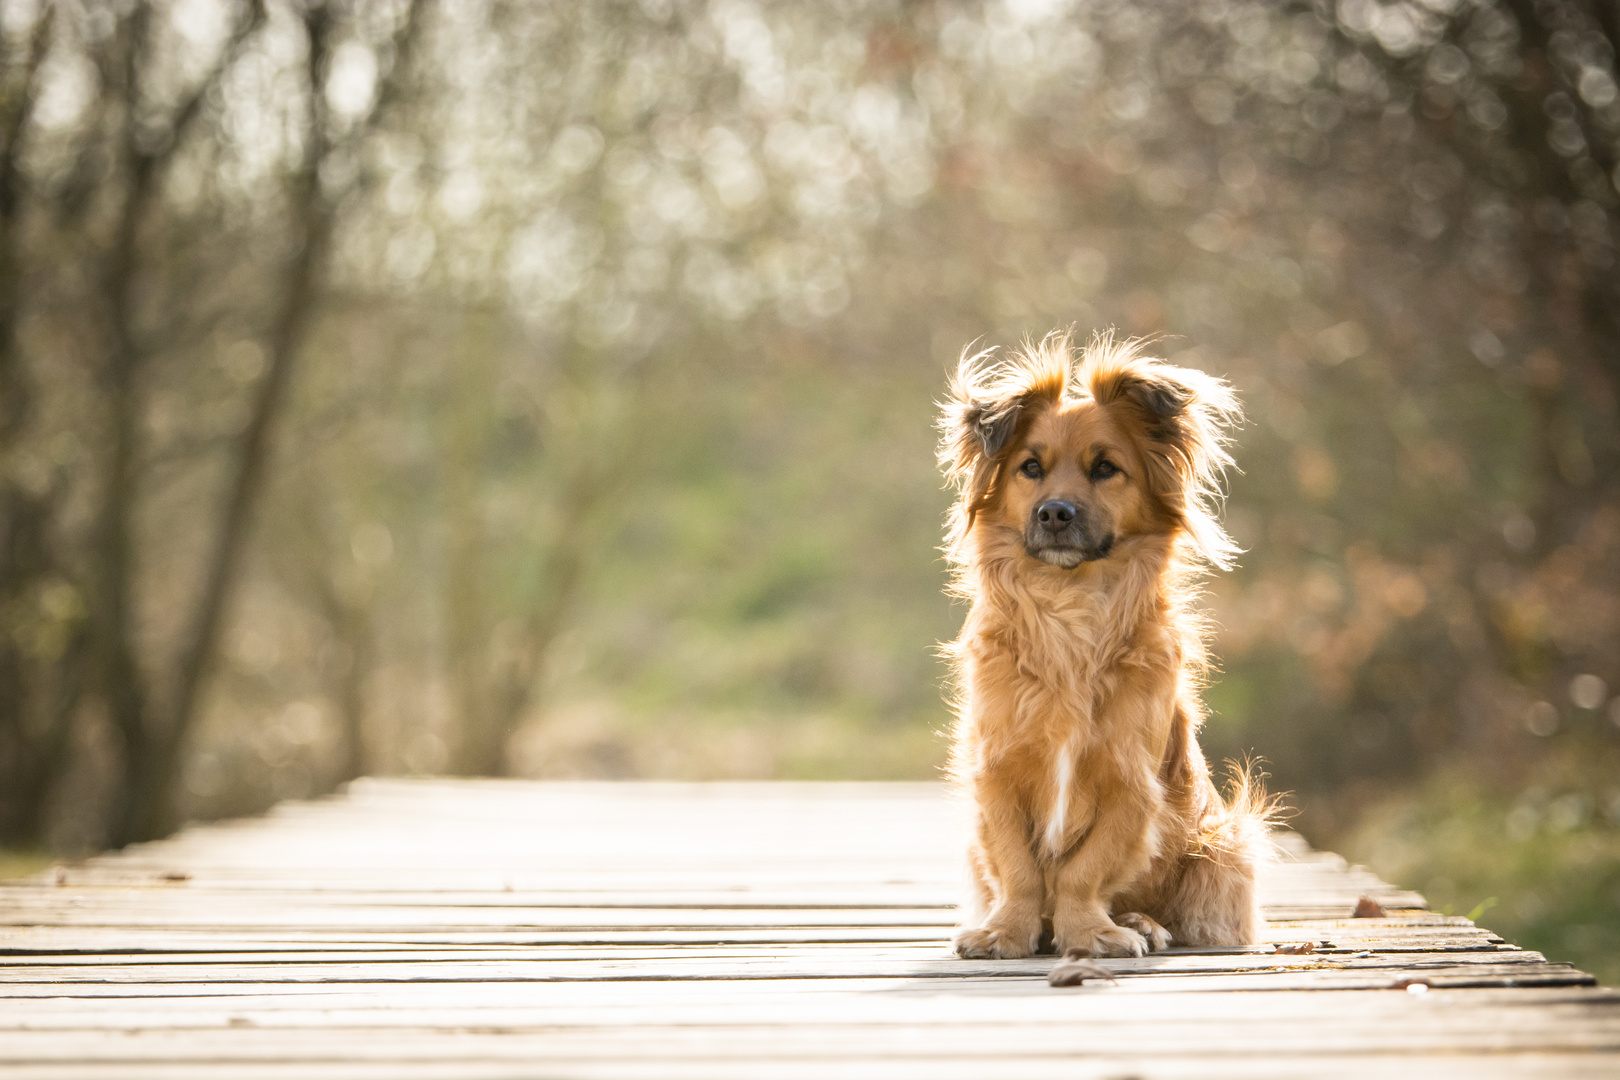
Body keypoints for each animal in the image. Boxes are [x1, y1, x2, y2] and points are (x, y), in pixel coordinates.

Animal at [939, 333, 1276, 958]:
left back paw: (1142, 922)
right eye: (1030, 467)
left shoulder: (1131, 781)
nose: (1054, 512)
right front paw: (1007, 931)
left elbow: (1085, 870)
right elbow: (1018, 868)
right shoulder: (997, 771)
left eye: (1105, 469)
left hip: (1225, 842)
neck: (1070, 604)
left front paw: (1091, 932)